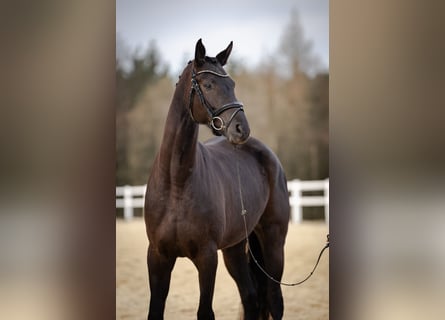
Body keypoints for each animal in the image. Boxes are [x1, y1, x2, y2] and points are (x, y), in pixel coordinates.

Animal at [144, 40, 290, 320]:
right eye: (209, 84)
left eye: (231, 83)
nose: (241, 129)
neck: (176, 183)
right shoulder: (157, 256)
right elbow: (155, 311)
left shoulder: (206, 256)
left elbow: (205, 312)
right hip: (235, 248)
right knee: (251, 297)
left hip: (274, 240)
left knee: (274, 300)